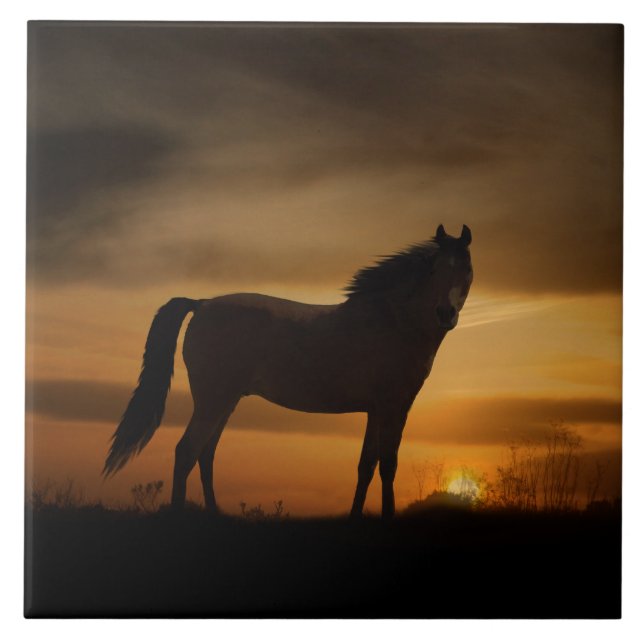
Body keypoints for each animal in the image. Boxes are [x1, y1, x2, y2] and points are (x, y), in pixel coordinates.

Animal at [104, 223, 473, 518]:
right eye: (434, 270)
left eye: (466, 270)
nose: (445, 313)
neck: (392, 322)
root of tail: (202, 304)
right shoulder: (393, 408)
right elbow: (388, 465)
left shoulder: (375, 410)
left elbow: (366, 465)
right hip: (213, 402)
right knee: (187, 452)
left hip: (226, 402)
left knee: (206, 455)